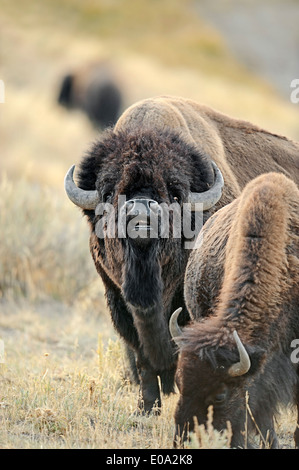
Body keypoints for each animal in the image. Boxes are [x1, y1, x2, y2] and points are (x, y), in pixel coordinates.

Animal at [64, 95, 299, 414]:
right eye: (108, 191)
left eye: (175, 193)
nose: (141, 212)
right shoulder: (120, 300)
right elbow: (142, 357)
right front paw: (146, 409)